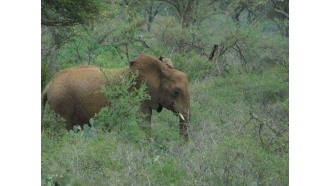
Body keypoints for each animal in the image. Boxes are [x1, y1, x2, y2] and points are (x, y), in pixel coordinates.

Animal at [42, 53, 189, 140]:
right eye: (176, 92)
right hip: (61, 103)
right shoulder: (136, 94)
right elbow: (143, 122)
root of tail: (48, 85)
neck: (163, 70)